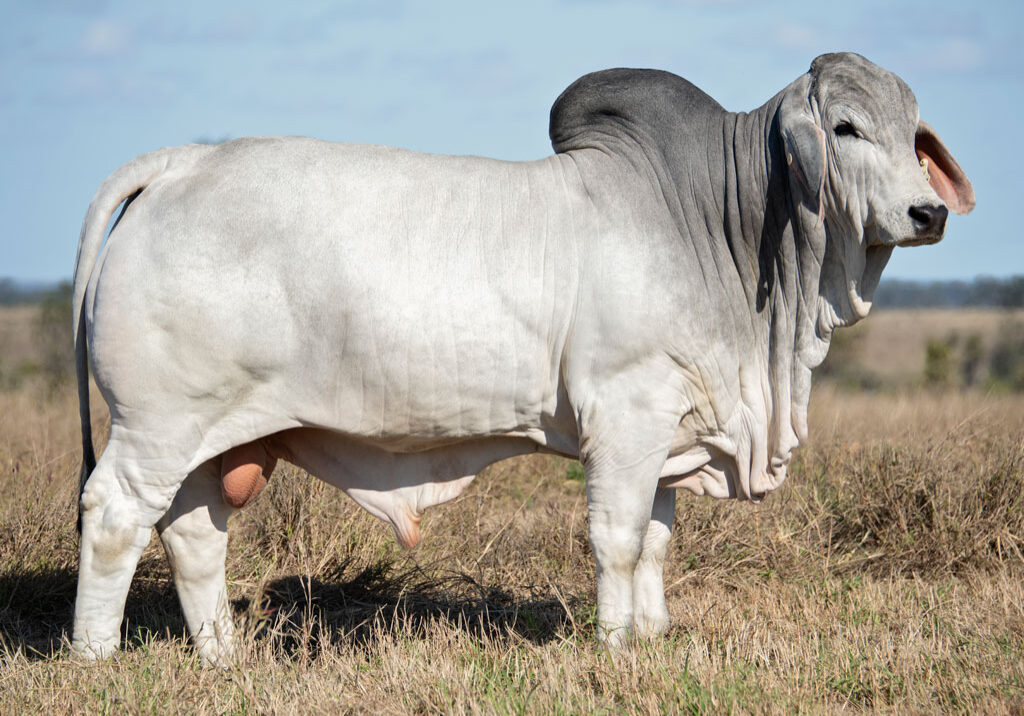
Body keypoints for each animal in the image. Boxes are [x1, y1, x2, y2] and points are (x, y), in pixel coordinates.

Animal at [71, 52, 973, 665]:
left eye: (911, 132)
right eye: (846, 128)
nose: (927, 212)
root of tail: (184, 162)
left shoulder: (671, 432)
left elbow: (655, 541)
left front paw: (653, 635)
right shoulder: (626, 417)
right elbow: (617, 539)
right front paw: (614, 646)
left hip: (206, 437)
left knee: (193, 533)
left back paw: (222, 657)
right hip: (155, 425)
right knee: (114, 517)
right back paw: (95, 657)